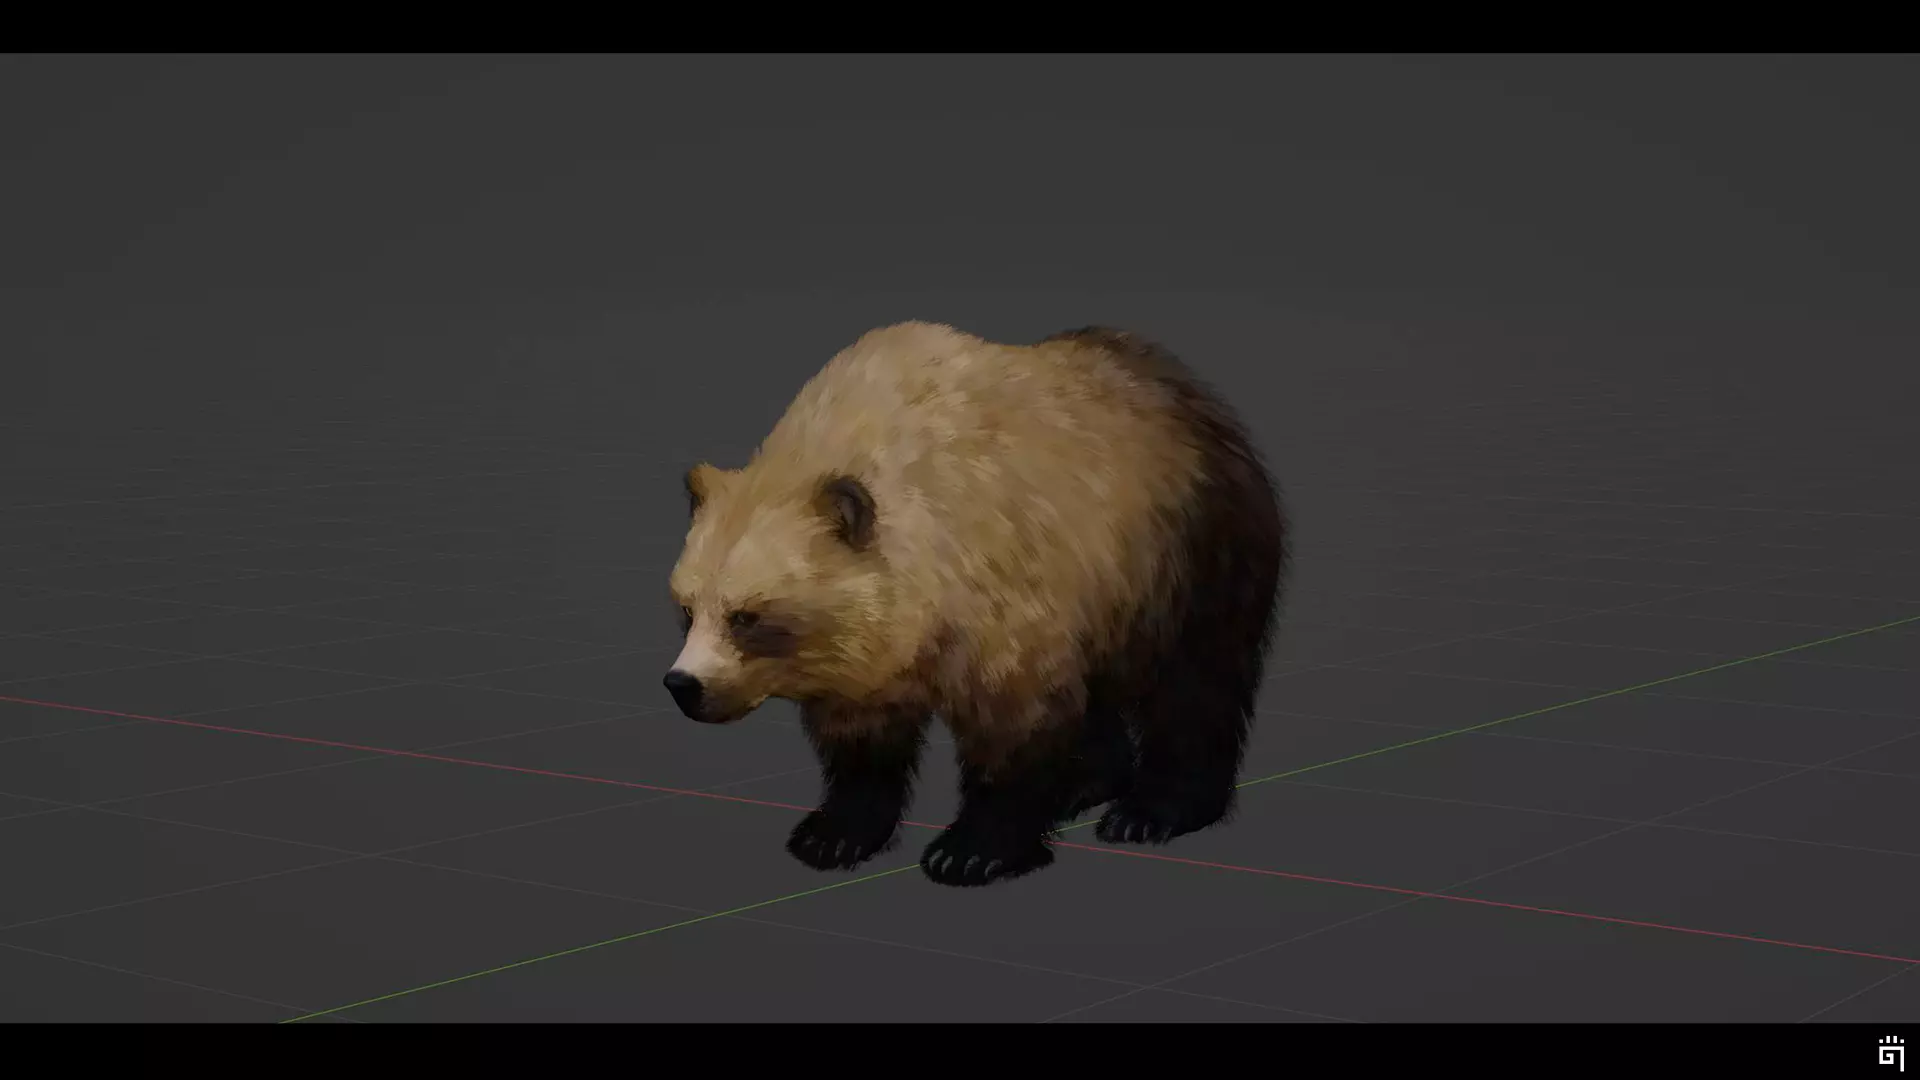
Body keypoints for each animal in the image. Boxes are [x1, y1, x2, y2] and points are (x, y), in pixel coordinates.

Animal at [663, 321, 1287, 887]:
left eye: (747, 616)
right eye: (687, 608)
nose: (684, 685)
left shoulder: (1008, 591)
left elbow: (1013, 727)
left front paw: (970, 851)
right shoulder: (868, 655)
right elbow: (861, 739)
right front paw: (832, 834)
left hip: (1189, 554)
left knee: (1194, 685)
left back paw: (1149, 811)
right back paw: (1086, 783)